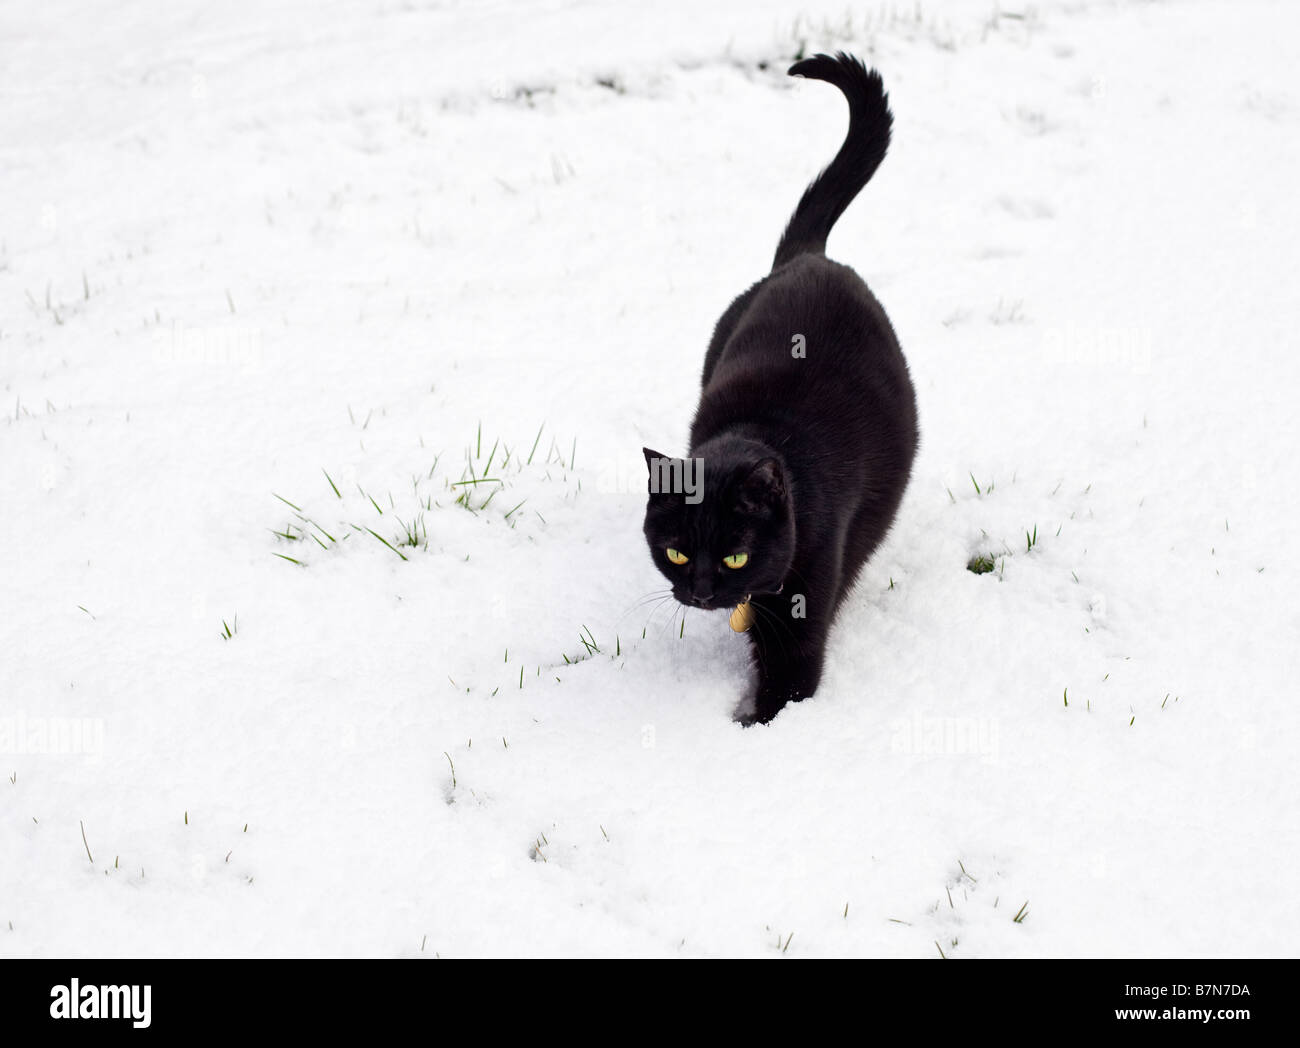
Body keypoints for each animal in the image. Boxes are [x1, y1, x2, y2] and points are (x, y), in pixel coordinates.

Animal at [644, 49, 920, 722]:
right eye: (677, 551)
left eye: (735, 555)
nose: (702, 592)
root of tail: (808, 256)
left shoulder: (803, 612)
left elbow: (786, 686)